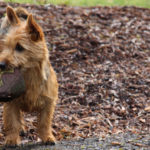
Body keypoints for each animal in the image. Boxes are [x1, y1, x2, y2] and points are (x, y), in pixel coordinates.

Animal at [0, 6, 58, 146]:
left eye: (19, 47)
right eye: (6, 46)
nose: (1, 64)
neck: (29, 77)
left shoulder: (48, 103)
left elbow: (44, 123)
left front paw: (47, 137)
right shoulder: (11, 103)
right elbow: (12, 122)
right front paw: (12, 140)